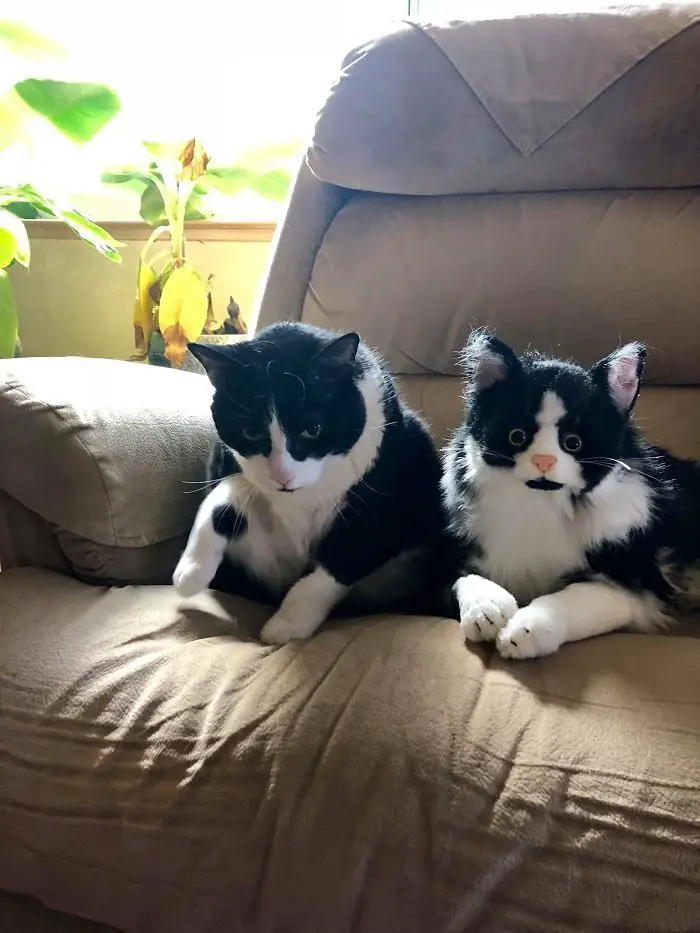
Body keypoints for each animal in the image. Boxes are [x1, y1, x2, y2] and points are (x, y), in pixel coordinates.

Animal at [173, 320, 446, 640]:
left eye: (313, 429)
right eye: (251, 433)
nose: (283, 477)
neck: (302, 498)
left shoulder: (384, 499)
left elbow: (338, 562)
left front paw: (288, 625)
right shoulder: (226, 464)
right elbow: (224, 493)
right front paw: (191, 570)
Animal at [442, 332, 700, 660]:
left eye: (573, 443)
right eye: (517, 437)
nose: (543, 461)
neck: (541, 506)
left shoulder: (636, 586)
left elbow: (572, 598)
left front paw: (524, 630)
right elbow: (466, 578)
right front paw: (486, 609)